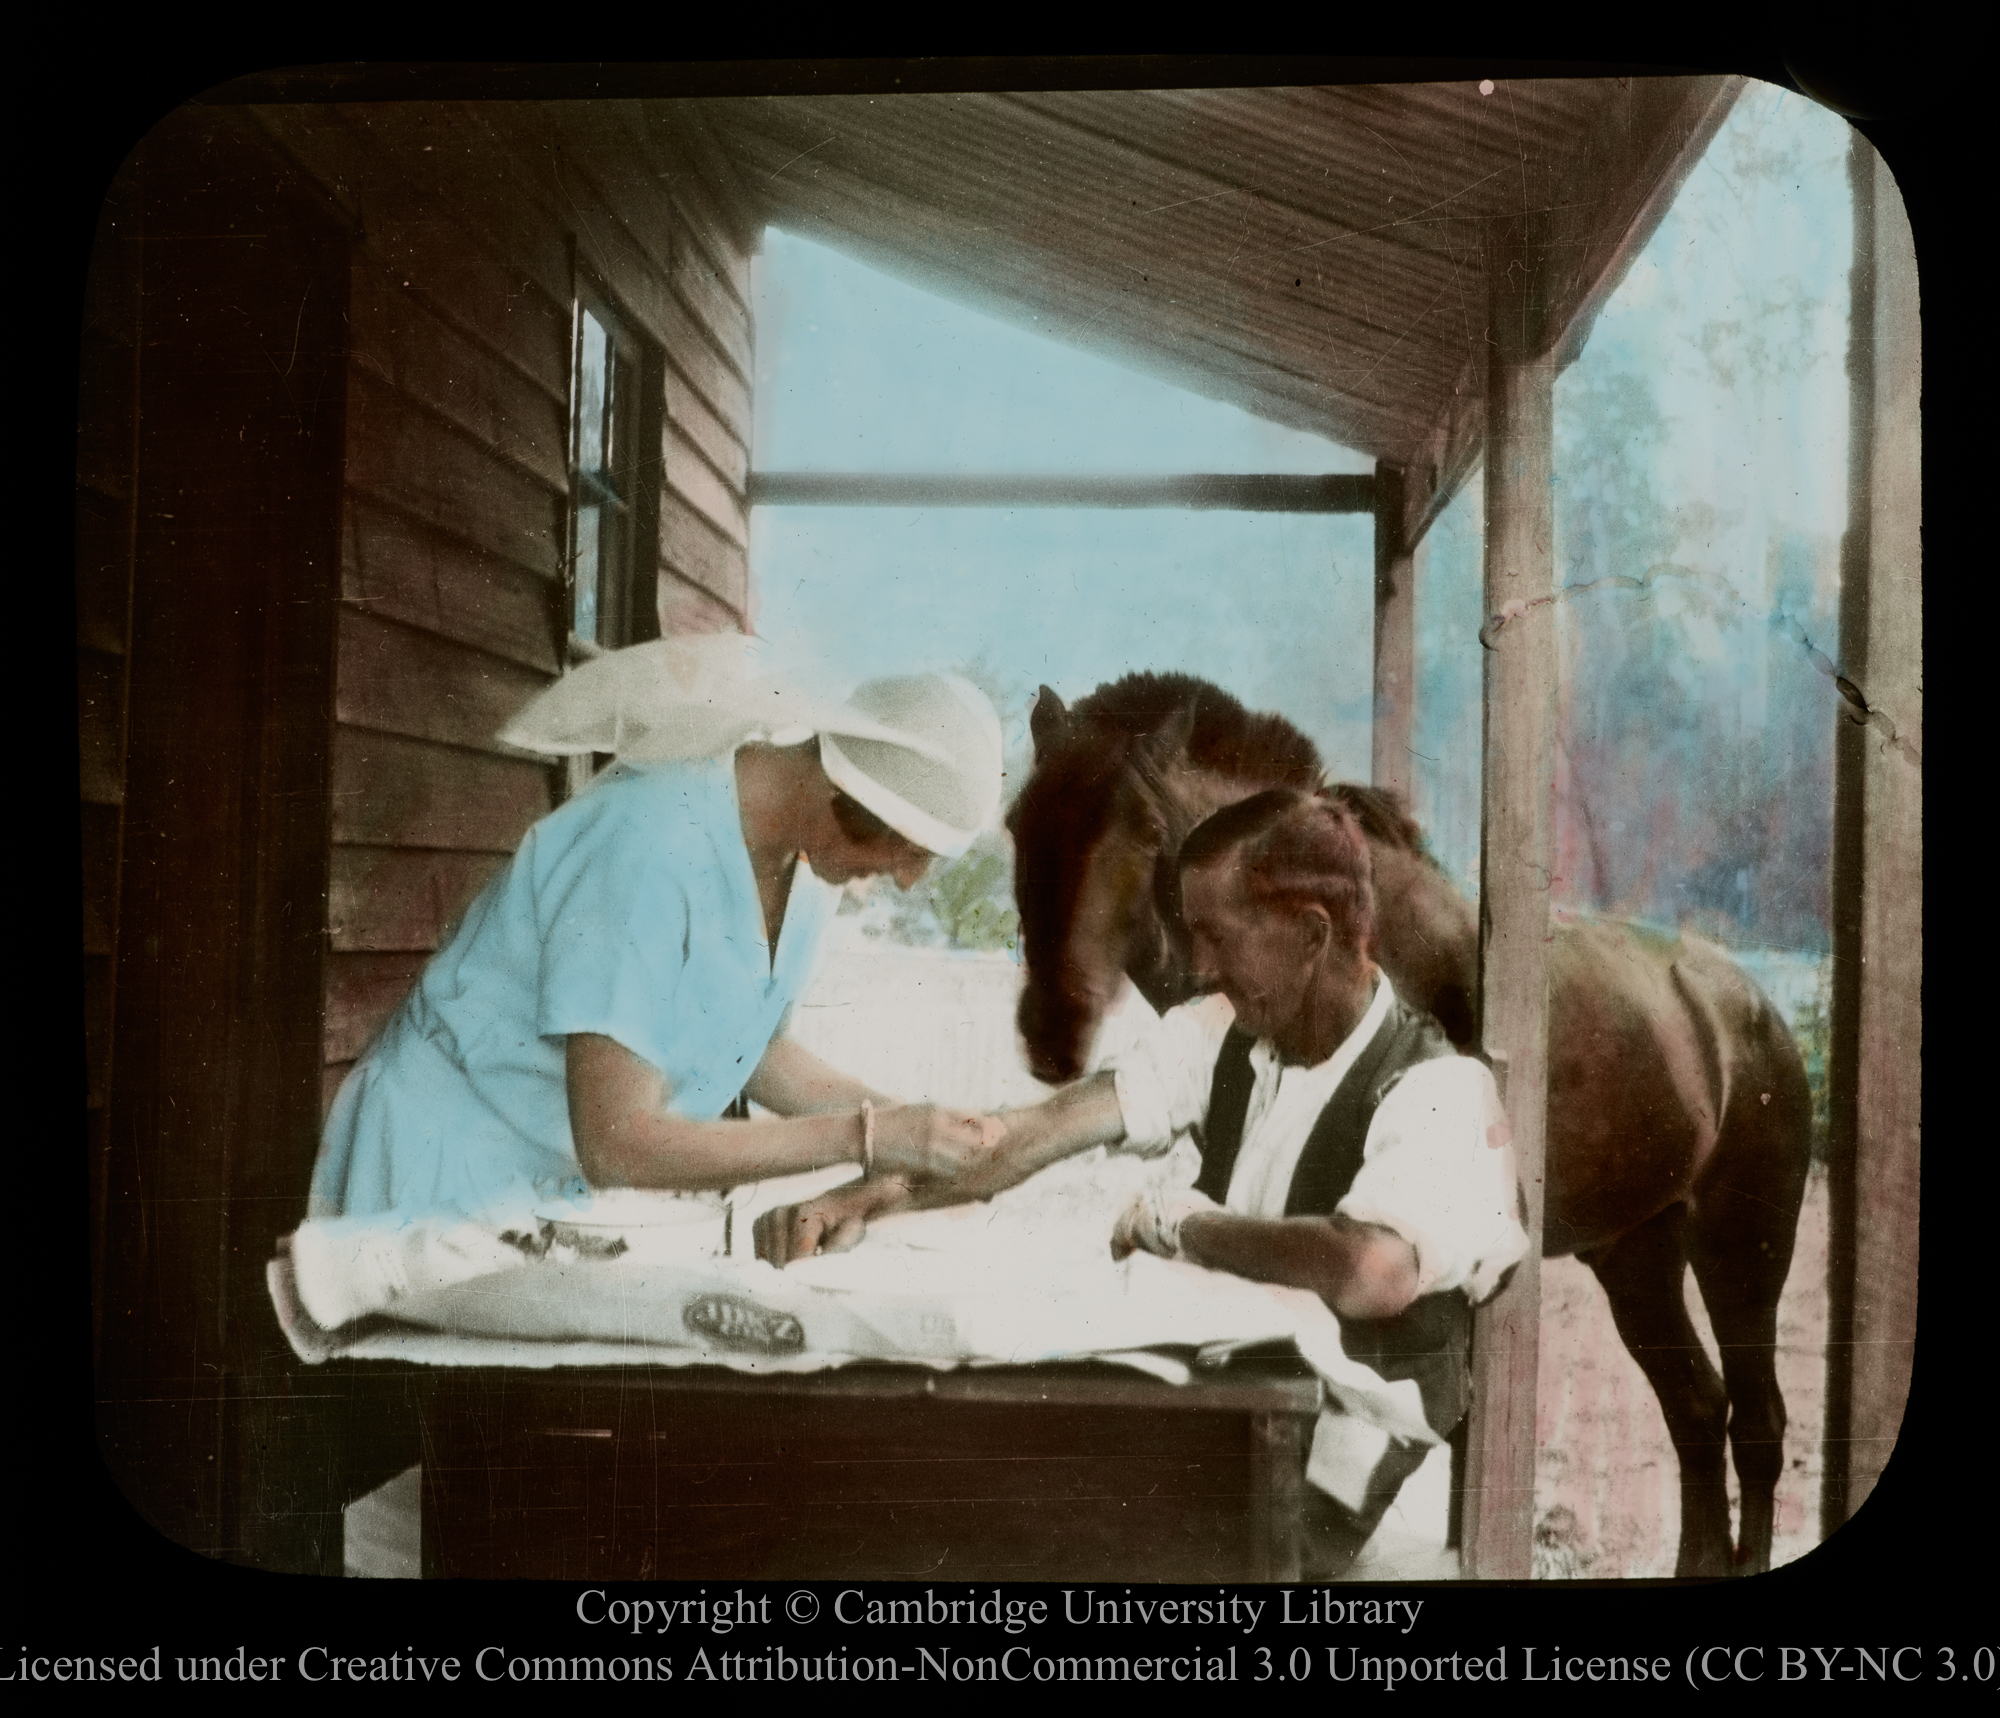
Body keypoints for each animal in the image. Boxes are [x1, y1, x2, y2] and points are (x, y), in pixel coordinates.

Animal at [1016, 668, 1816, 1576]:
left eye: (1147, 832)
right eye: (1020, 823)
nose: (1050, 1033)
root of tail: (1752, 1011)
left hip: (1743, 1249)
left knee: (1756, 1423)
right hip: (1637, 1255)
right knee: (1696, 1409)